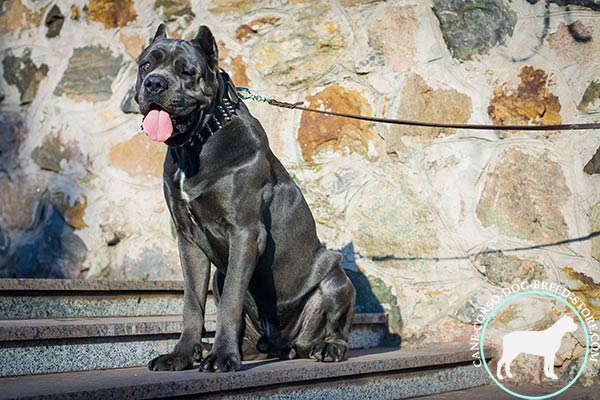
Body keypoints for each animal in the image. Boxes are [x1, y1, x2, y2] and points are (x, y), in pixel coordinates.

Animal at [135, 24, 356, 372]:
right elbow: (192, 303)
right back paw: (215, 349)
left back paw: (328, 347)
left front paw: (223, 358)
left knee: (336, 325)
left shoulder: (245, 234)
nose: (155, 83)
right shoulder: (189, 241)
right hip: (220, 278)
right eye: (146, 65)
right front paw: (182, 355)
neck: (199, 142)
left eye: (187, 71)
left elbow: (231, 303)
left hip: (336, 280)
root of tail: (285, 343)